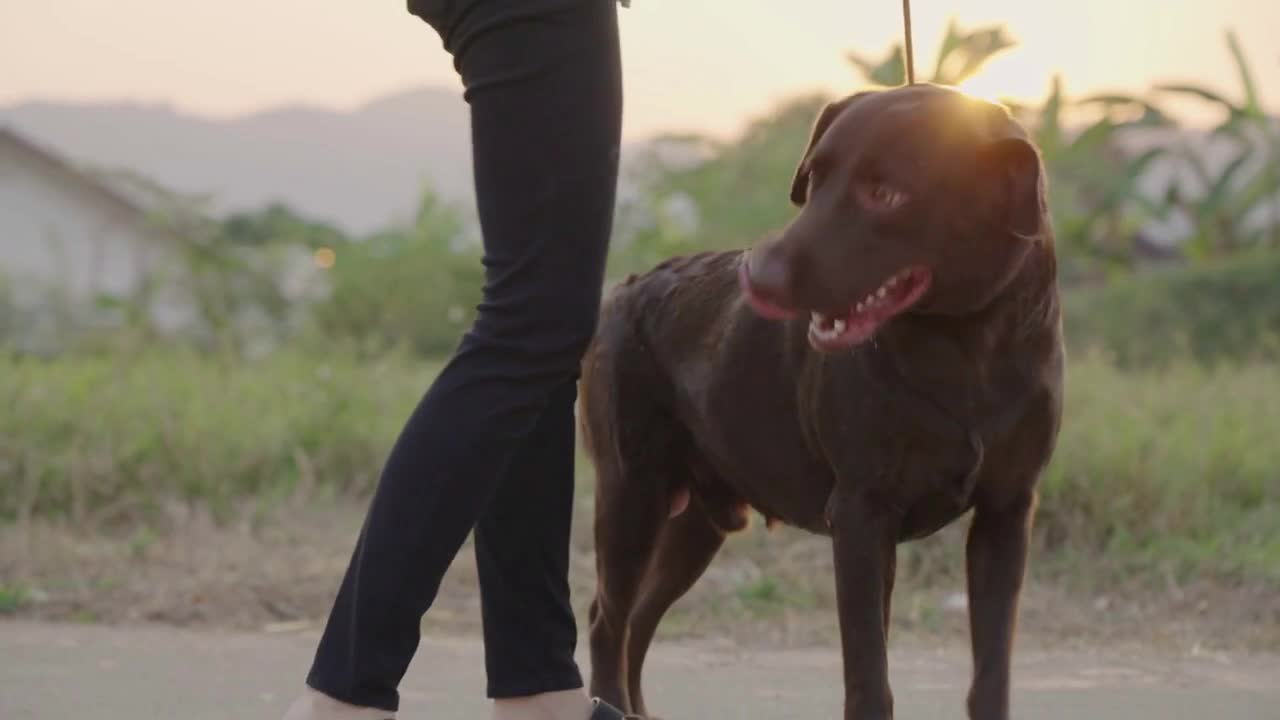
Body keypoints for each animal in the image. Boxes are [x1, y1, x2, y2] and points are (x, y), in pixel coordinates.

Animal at [578, 83, 1059, 717]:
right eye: (813, 180)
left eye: (885, 193)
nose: (757, 275)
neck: (967, 349)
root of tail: (624, 289)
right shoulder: (860, 516)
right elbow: (869, 677)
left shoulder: (1005, 515)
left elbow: (991, 675)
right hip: (631, 496)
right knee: (606, 621)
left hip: (694, 526)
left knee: (637, 619)